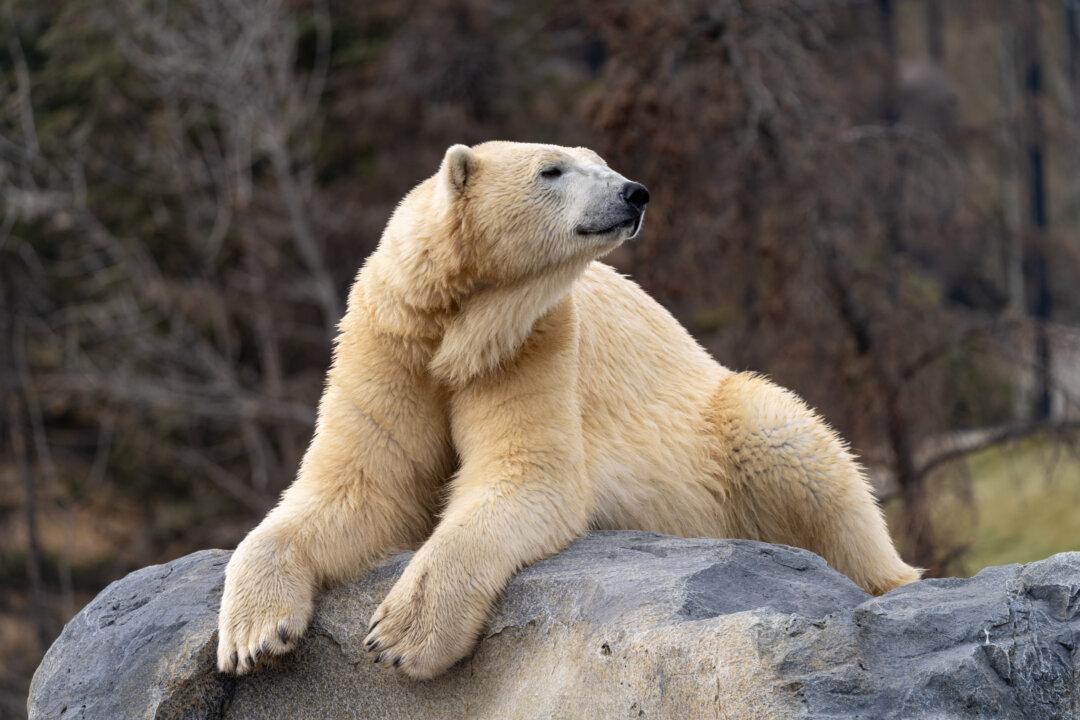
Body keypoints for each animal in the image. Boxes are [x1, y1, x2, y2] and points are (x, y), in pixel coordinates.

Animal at [217, 141, 921, 680]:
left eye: (601, 161)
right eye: (551, 169)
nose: (634, 192)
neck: (457, 329)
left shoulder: (533, 343)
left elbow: (528, 476)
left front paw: (400, 637)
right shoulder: (389, 344)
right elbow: (359, 486)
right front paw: (253, 636)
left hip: (723, 416)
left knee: (793, 447)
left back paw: (896, 583)